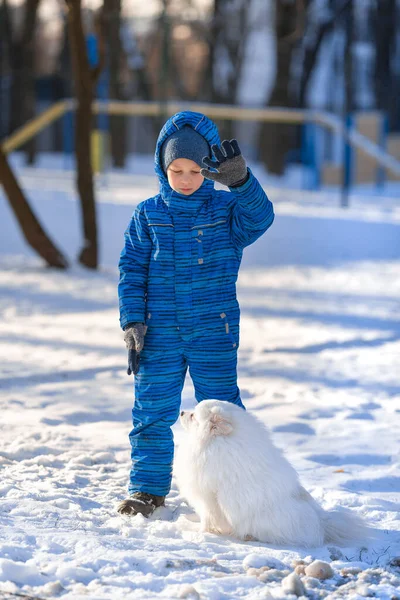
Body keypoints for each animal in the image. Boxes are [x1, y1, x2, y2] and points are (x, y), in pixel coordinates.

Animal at [175, 400, 368, 548]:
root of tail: (321, 523)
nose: (182, 412)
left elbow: (207, 518)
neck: (214, 442)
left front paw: (198, 532)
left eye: (193, 416)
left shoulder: (206, 496)